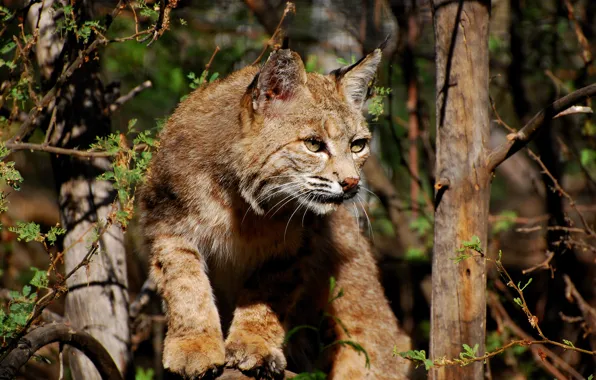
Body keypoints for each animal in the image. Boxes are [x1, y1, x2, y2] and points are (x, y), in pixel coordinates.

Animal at [138, 46, 412, 378]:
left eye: (358, 145)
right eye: (313, 144)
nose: (351, 183)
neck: (241, 202)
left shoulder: (294, 248)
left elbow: (266, 294)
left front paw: (254, 346)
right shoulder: (168, 222)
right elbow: (185, 285)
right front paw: (194, 346)